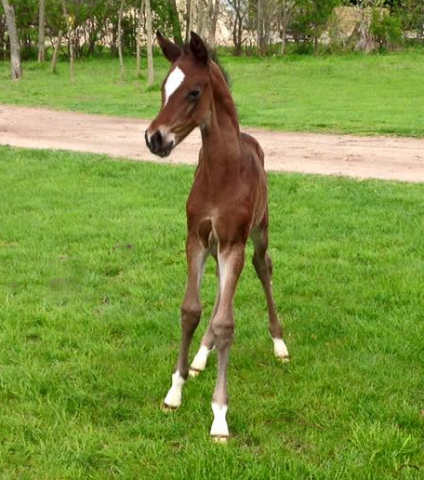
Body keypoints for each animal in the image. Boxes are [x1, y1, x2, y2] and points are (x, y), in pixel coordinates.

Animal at [145, 31, 288, 440]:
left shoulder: (232, 243)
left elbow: (226, 322)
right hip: (214, 247)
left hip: (256, 233)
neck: (221, 172)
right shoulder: (196, 240)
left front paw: (220, 416)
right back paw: (199, 357)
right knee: (222, 293)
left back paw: (279, 342)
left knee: (263, 266)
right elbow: (190, 310)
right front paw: (175, 389)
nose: (154, 138)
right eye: (163, 87)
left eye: (194, 91)